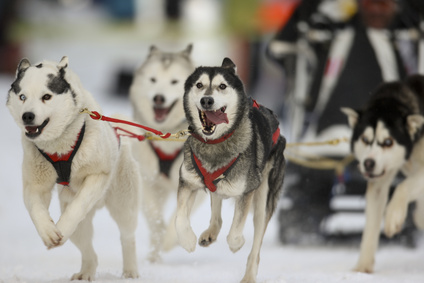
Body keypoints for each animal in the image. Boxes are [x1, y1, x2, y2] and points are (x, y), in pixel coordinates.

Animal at [7, 56, 139, 280]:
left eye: (46, 96)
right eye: (22, 96)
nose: (27, 116)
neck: (58, 147)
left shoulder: (97, 175)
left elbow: (78, 206)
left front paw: (61, 225)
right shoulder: (35, 185)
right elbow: (36, 209)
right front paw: (48, 231)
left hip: (123, 207)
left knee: (127, 237)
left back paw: (130, 270)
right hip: (80, 226)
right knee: (89, 251)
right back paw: (86, 272)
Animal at [128, 45, 196, 264]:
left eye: (174, 82)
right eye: (153, 80)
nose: (159, 98)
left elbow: (180, 216)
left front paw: (170, 240)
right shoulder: (148, 182)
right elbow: (155, 221)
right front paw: (156, 249)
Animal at [174, 58, 286, 283]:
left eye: (222, 86)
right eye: (199, 85)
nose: (207, 100)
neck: (215, 144)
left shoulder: (247, 190)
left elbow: (236, 228)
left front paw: (236, 243)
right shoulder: (187, 182)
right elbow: (179, 218)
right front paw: (187, 240)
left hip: (264, 197)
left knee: (256, 246)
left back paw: (249, 276)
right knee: (216, 208)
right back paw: (210, 233)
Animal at [342, 74, 424, 274]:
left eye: (388, 141)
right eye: (365, 139)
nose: (368, 163)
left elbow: (403, 186)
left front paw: (393, 217)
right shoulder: (379, 182)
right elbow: (371, 225)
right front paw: (362, 267)